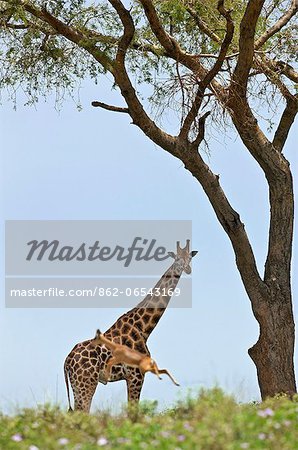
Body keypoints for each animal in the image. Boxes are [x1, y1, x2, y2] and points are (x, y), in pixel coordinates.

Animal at [63, 241, 197, 414]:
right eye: (178, 258)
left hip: (78, 385)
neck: (144, 329)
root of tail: (67, 360)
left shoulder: (133, 376)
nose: (187, 269)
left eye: (190, 258)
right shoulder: (136, 375)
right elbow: (133, 409)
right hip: (86, 382)